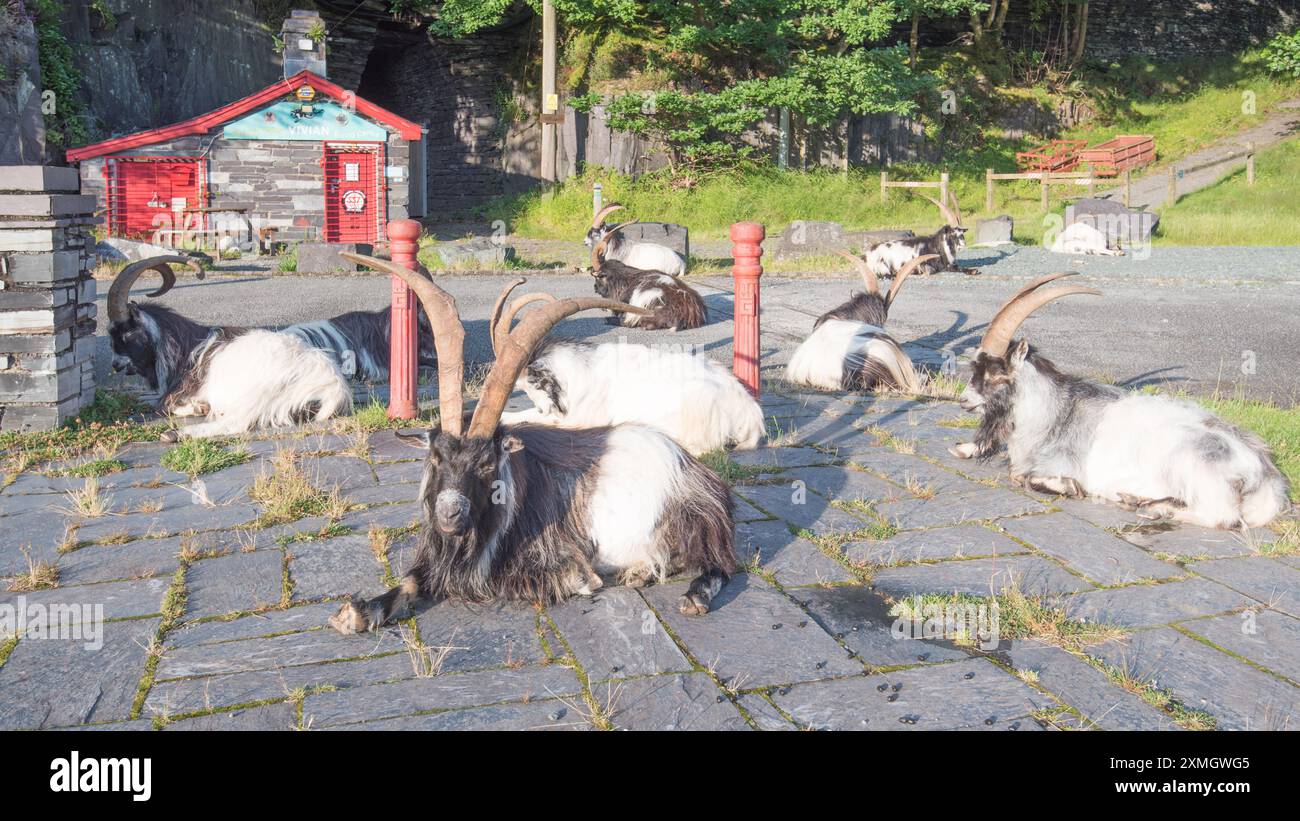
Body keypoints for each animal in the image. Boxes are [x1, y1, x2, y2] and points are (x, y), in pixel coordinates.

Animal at [106, 257, 353, 439]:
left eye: (126, 333)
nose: (115, 365)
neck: (185, 348)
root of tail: (333, 386)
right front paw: (200, 408)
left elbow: (163, 406)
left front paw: (198, 409)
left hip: (261, 392)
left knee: (238, 422)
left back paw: (175, 434)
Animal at [951, 274, 1284, 532]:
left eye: (996, 373)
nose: (963, 400)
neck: (1055, 413)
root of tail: (1264, 473)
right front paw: (964, 448)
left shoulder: (1061, 464)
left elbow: (1022, 476)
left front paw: (1068, 487)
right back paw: (1137, 499)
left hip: (1195, 470)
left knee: (1223, 517)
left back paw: (1152, 509)